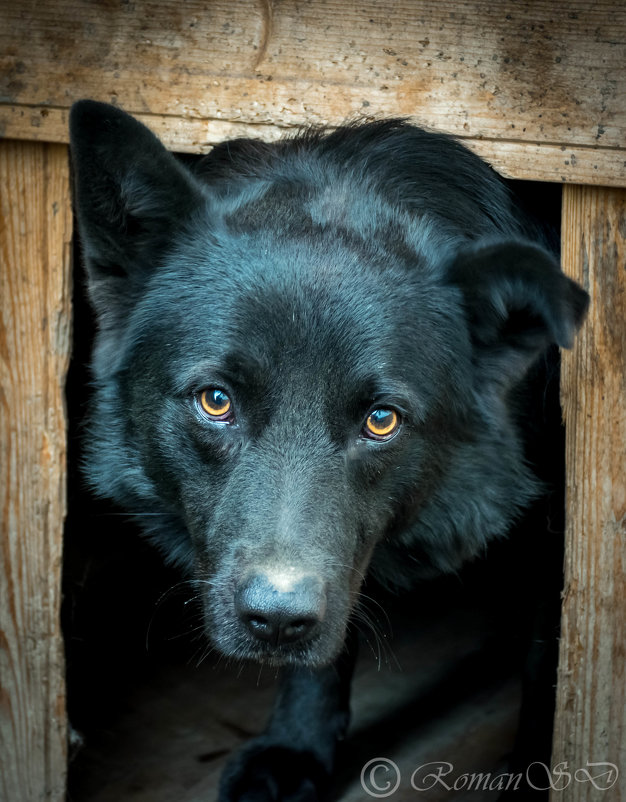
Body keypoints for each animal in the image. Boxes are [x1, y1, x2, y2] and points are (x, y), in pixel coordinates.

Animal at [70, 101, 588, 800]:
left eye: (381, 421)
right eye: (215, 401)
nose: (276, 621)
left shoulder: (553, 542)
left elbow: (547, 667)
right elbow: (324, 649)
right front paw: (296, 747)